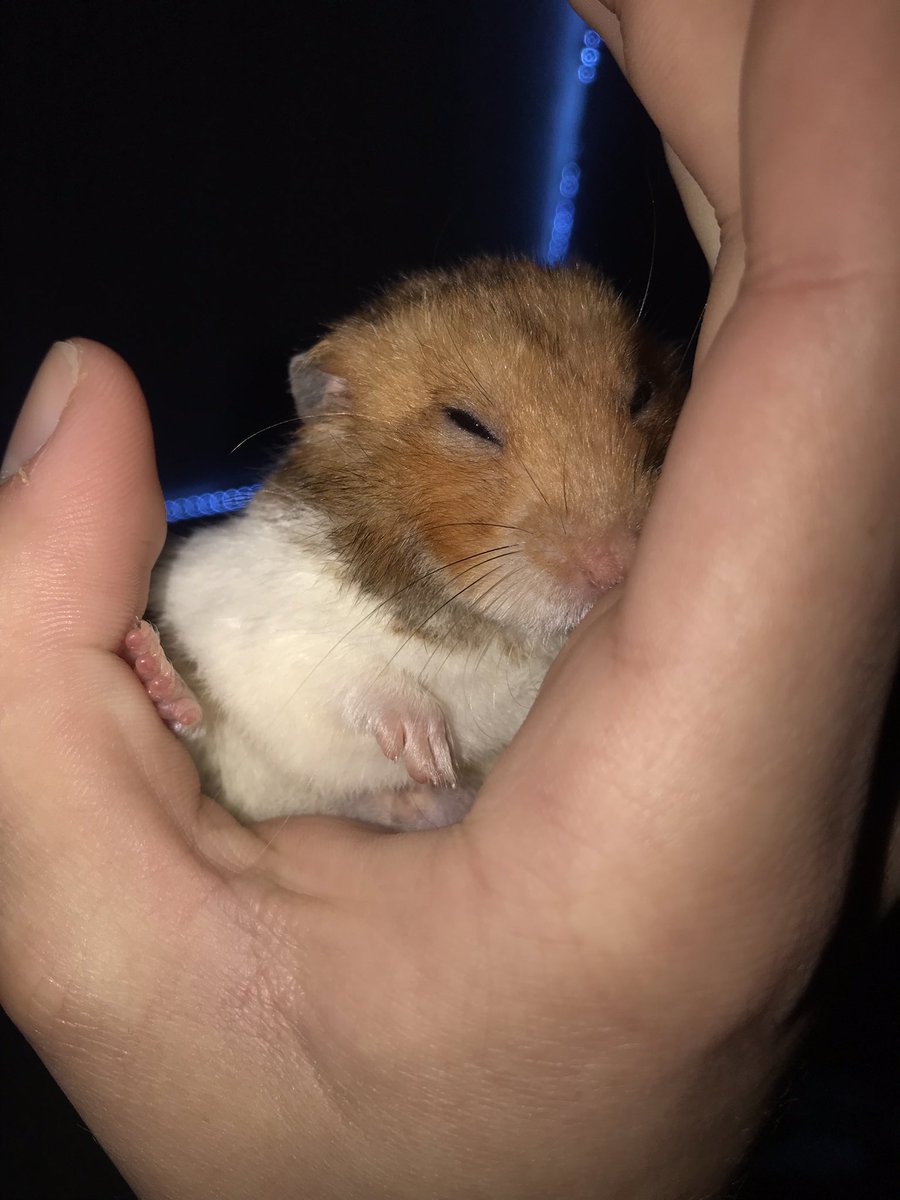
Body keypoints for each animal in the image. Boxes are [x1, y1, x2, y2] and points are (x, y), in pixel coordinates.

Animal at [136, 258, 686, 830]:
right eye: (467, 423)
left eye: (642, 395)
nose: (616, 568)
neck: (481, 617)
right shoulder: (262, 617)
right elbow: (345, 673)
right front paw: (429, 753)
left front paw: (433, 776)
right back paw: (153, 670)